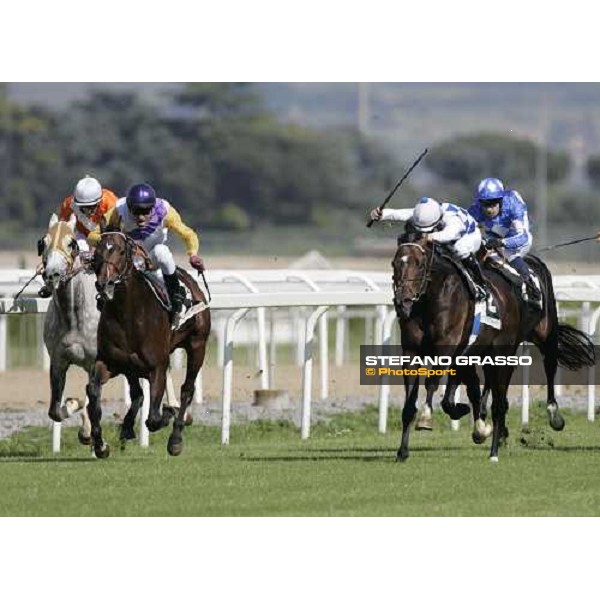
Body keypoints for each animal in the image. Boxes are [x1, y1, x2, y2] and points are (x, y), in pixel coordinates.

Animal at [392, 232, 592, 462]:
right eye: (394, 263)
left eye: (419, 263)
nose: (402, 301)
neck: (431, 300)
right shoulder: (414, 353)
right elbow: (417, 401)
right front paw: (402, 451)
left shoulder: (446, 349)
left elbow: (434, 383)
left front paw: (427, 418)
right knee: (491, 390)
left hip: (539, 337)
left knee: (546, 367)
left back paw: (548, 418)